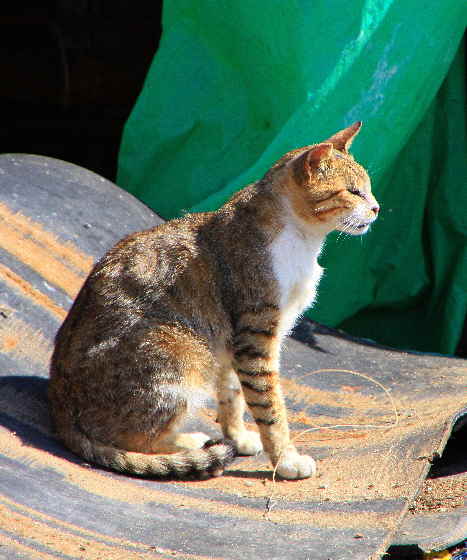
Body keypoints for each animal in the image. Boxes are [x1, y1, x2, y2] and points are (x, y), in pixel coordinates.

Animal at [48, 122, 380, 482]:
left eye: (369, 190)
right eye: (354, 192)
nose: (377, 208)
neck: (301, 239)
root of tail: (60, 406)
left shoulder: (234, 341)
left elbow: (232, 393)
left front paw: (238, 437)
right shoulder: (256, 334)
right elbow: (270, 407)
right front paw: (286, 460)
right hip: (182, 353)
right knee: (130, 439)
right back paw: (187, 442)